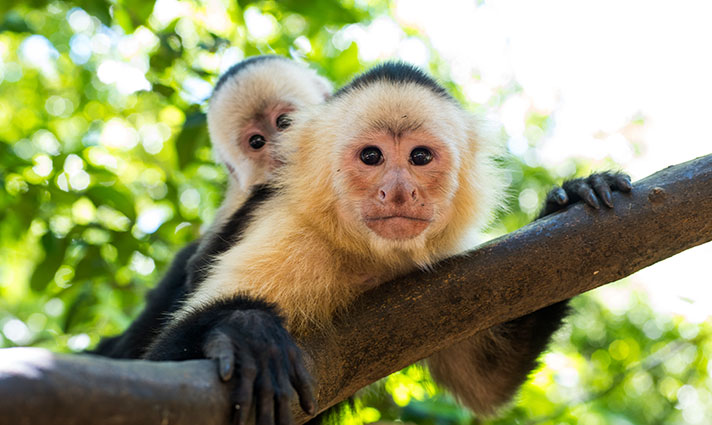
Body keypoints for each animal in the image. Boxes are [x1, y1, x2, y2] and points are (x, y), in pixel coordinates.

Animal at [143, 62, 632, 424]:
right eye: (371, 156)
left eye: (419, 156)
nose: (397, 192)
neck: (371, 257)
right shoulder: (291, 231)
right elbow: (161, 366)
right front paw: (244, 330)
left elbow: (486, 381)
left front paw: (570, 196)